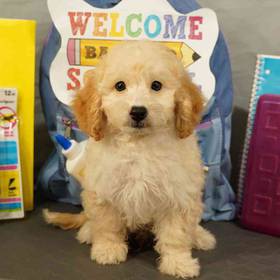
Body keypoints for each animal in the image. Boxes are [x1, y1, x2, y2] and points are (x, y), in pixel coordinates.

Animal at [44, 40, 217, 278]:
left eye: (156, 86)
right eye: (120, 86)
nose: (138, 111)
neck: (138, 144)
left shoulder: (179, 195)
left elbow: (177, 234)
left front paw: (178, 262)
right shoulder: (104, 190)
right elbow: (107, 225)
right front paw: (108, 249)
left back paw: (200, 236)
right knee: (90, 218)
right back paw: (88, 231)